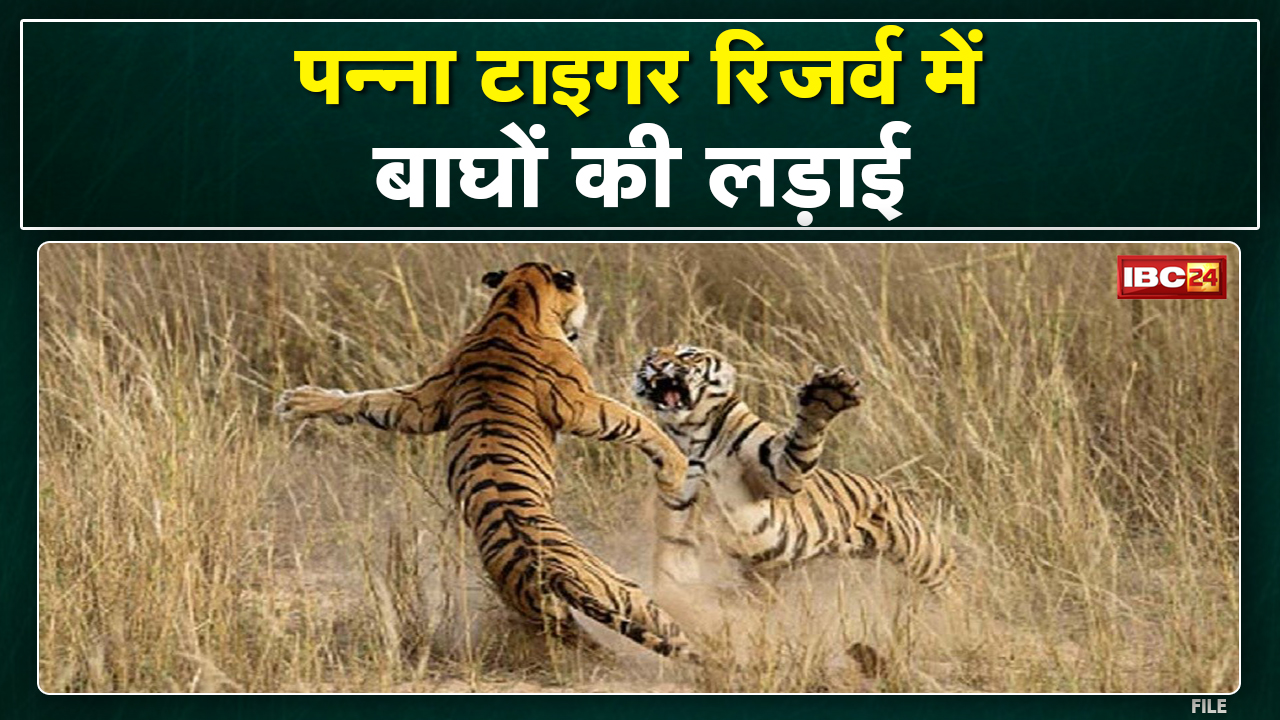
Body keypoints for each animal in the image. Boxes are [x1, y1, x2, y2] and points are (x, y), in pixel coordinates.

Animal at [277, 263, 701, 660]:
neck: (513, 302)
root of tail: (554, 573)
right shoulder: (578, 403)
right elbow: (636, 421)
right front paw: (675, 467)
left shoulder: (423, 402)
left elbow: (371, 401)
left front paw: (300, 401)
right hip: (625, 590)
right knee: (669, 630)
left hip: (556, 610)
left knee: (593, 641)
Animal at [633, 345, 955, 594]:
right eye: (650, 356)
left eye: (687, 354)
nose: (656, 364)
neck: (693, 432)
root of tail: (896, 492)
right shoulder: (679, 514)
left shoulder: (778, 471)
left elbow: (804, 436)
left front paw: (827, 393)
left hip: (923, 554)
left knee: (952, 583)